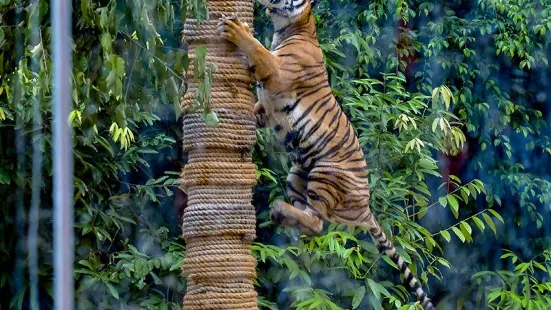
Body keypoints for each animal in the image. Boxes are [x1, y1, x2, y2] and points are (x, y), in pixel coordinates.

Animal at [218, 1, 438, 308]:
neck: (289, 27)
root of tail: (366, 207)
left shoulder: (277, 71)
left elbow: (257, 48)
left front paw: (236, 29)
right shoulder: (267, 106)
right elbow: (257, 108)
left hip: (325, 172)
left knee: (317, 222)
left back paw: (278, 209)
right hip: (297, 175)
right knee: (313, 222)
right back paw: (280, 214)